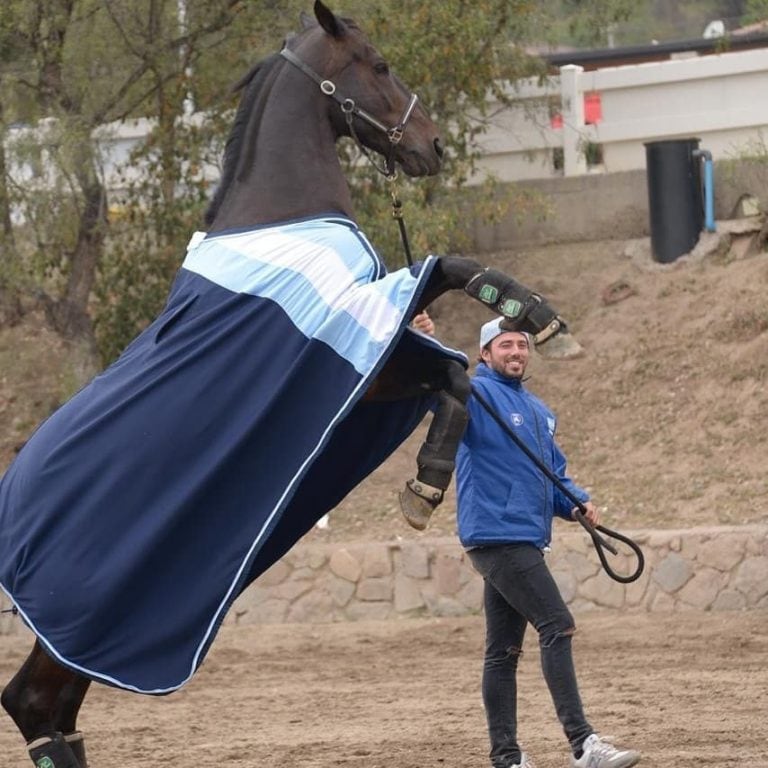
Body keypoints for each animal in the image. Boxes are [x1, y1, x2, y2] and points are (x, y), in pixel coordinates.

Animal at [0, 3, 572, 764]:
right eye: (380, 63)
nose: (433, 146)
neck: (277, 209)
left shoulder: (377, 362)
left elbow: (452, 374)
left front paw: (426, 480)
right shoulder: (358, 340)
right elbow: (447, 287)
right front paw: (521, 310)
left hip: (93, 628)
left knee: (49, 707)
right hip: (85, 614)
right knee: (36, 702)